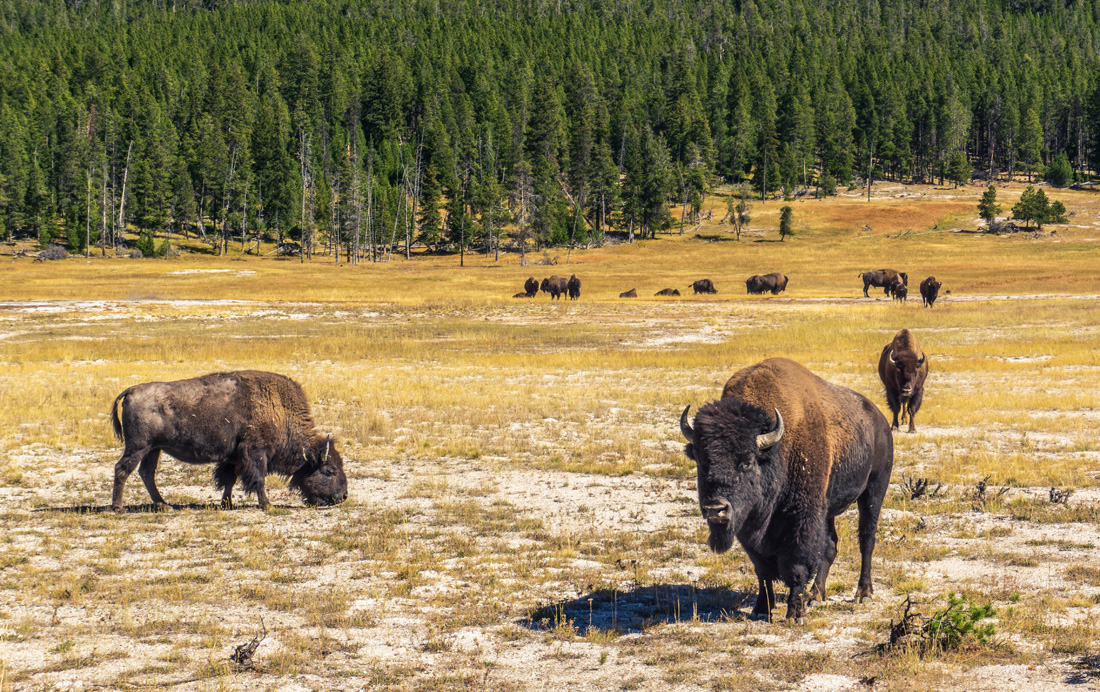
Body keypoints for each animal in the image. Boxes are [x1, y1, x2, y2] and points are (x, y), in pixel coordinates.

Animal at [106, 369, 347, 510]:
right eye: (330, 471)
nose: (343, 496)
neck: (278, 408)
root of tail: (132, 390)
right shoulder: (256, 453)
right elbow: (258, 479)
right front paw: (267, 505)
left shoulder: (234, 456)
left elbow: (229, 479)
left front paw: (226, 503)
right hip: (139, 446)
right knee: (122, 469)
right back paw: (118, 507)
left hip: (153, 449)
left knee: (146, 473)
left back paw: (164, 505)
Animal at [677, 358, 893, 624]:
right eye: (700, 460)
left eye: (746, 461)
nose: (715, 509)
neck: (775, 451)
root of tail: (880, 420)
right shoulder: (750, 527)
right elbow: (762, 569)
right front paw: (761, 608)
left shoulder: (801, 518)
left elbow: (796, 565)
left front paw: (794, 614)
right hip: (829, 508)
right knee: (830, 545)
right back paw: (815, 596)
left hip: (873, 491)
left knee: (866, 539)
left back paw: (863, 593)